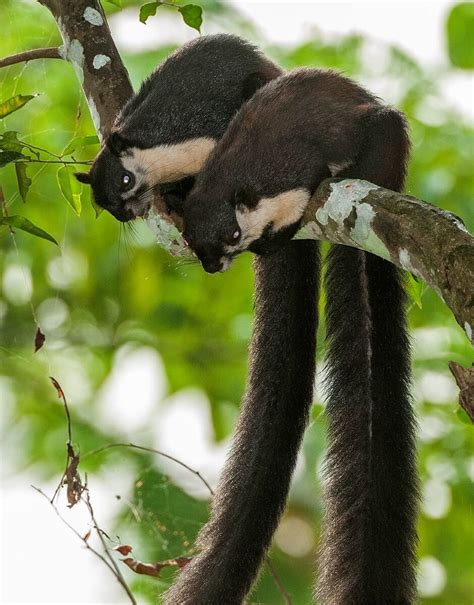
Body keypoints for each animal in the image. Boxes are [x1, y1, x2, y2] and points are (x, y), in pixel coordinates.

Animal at [183, 68, 418, 604]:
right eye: (200, 247)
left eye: (231, 238)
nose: (216, 265)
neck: (233, 179)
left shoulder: (287, 178)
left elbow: (296, 201)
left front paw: (276, 238)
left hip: (386, 135)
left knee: (379, 130)